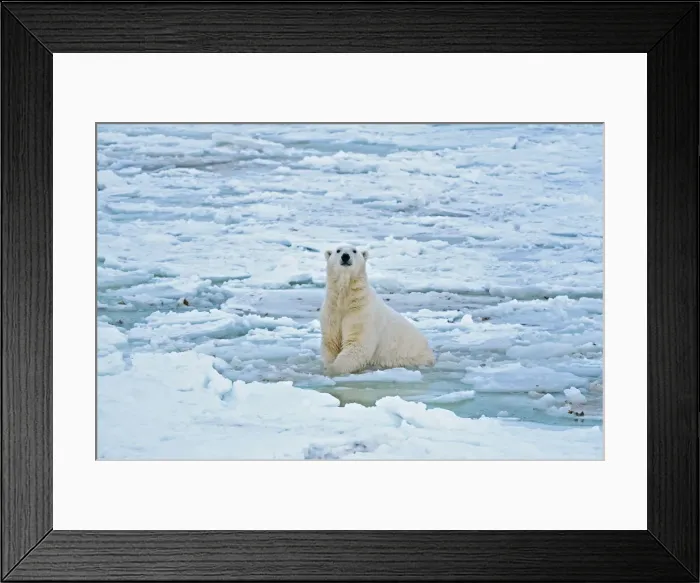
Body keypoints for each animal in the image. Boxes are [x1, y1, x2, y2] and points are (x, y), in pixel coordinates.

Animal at [320, 243, 436, 376]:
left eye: (354, 251)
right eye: (338, 250)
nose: (345, 256)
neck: (346, 299)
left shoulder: (362, 313)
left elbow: (358, 343)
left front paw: (333, 368)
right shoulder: (332, 311)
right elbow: (331, 341)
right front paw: (329, 365)